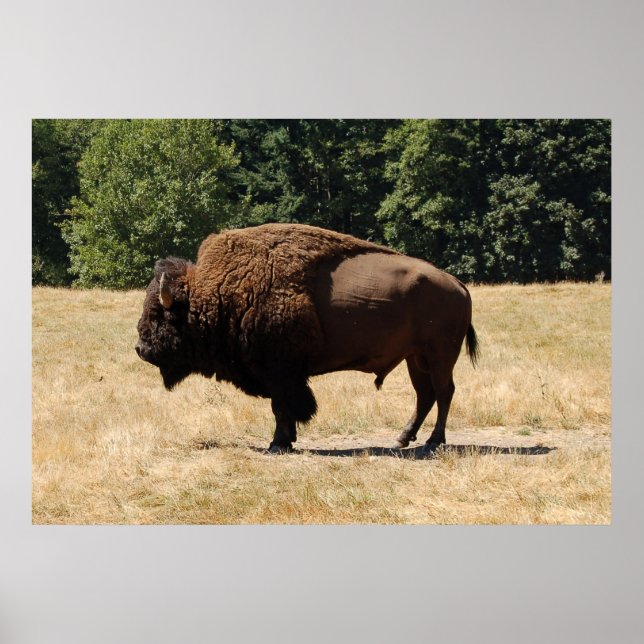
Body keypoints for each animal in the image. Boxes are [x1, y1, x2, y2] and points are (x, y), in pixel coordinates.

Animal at [135, 224, 479, 453]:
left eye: (158, 314)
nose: (140, 348)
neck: (218, 290)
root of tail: (457, 284)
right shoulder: (280, 373)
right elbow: (283, 408)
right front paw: (287, 440)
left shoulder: (280, 372)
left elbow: (283, 406)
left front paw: (277, 444)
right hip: (415, 358)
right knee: (425, 395)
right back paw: (403, 439)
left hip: (440, 355)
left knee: (444, 392)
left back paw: (433, 443)